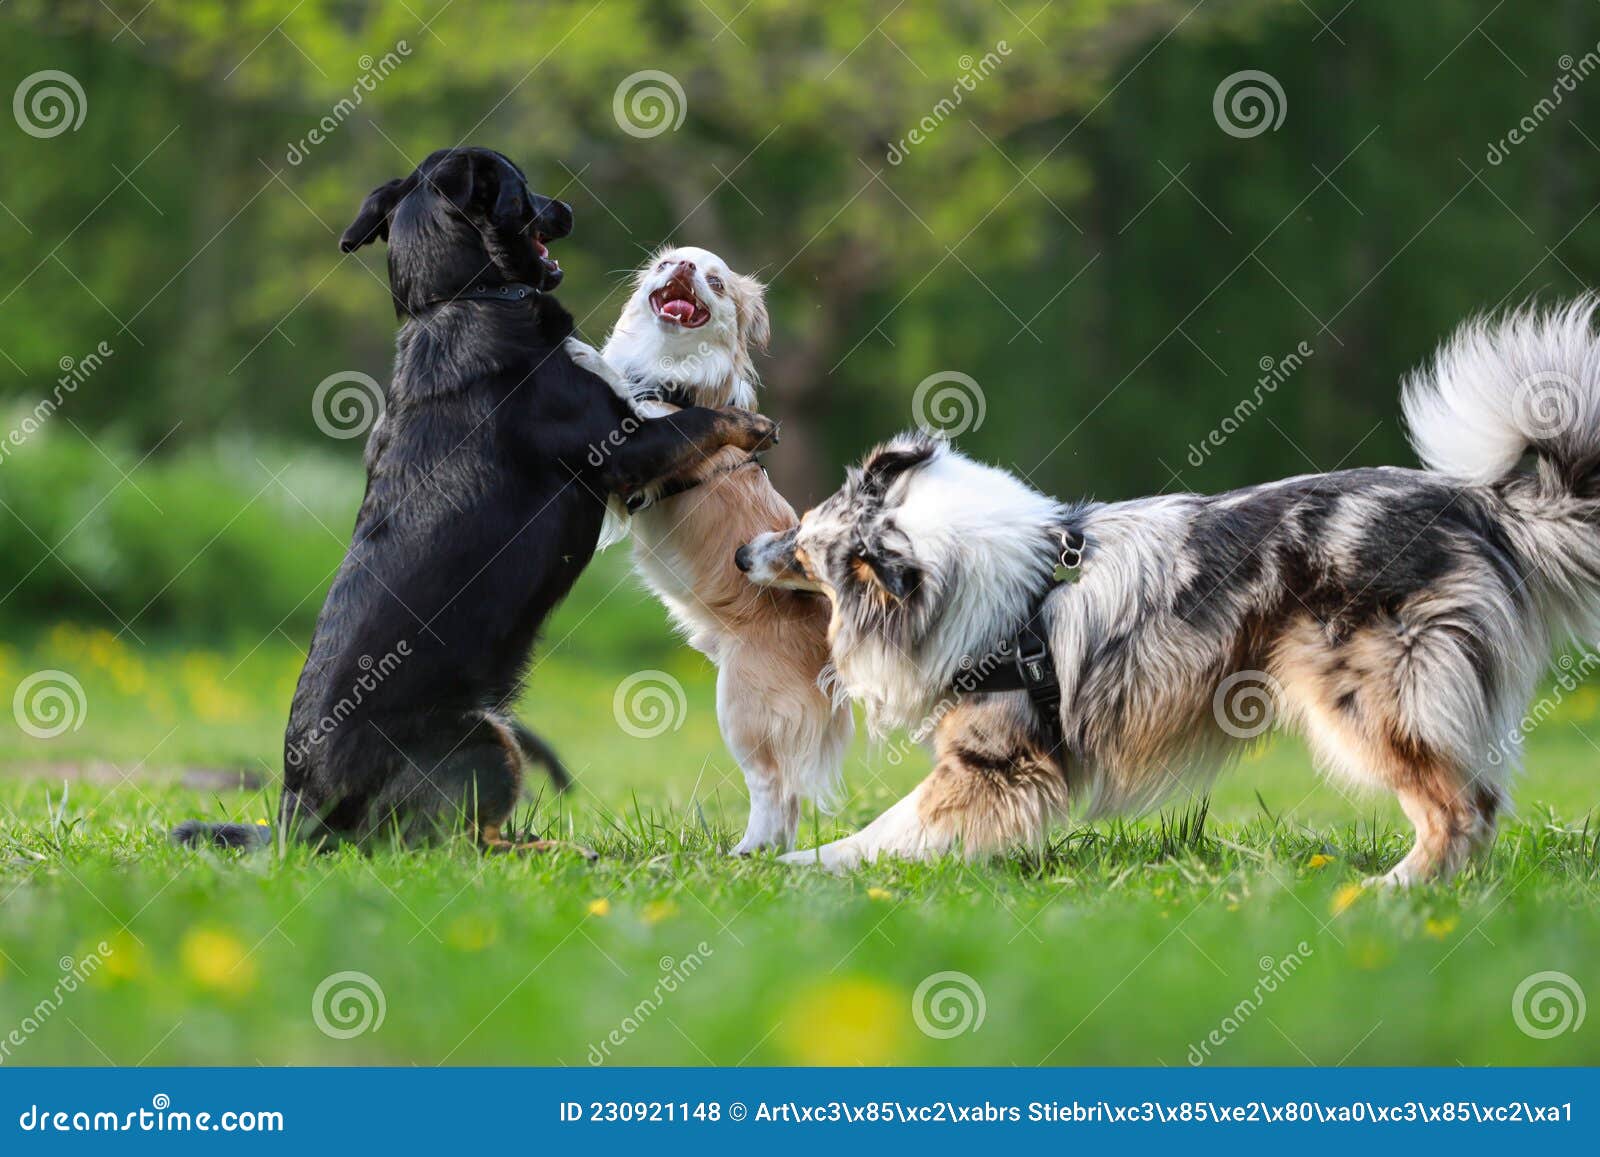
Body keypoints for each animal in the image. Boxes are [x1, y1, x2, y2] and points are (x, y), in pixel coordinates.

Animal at [598, 244, 851, 857]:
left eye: (715, 282)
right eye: (665, 264)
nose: (685, 269)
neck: (667, 375)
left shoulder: (649, 443)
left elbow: (672, 422)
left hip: (743, 708)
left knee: (773, 788)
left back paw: (746, 853)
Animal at [742, 300, 1600, 889]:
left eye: (802, 543)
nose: (746, 551)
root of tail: (1480, 503)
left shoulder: (995, 761)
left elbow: (886, 828)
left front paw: (797, 868)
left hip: (1368, 698)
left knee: (1462, 807)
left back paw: (1388, 893)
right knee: (1479, 802)